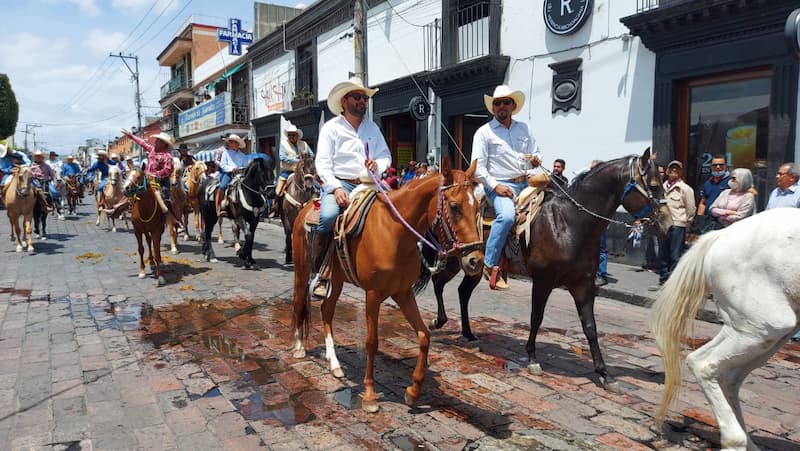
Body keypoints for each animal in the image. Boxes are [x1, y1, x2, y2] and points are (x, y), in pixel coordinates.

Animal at [292, 158, 484, 414]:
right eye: (454, 206)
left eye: (478, 206)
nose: (475, 260)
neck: (395, 233)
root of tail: (304, 209)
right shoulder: (373, 295)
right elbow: (372, 343)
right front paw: (370, 396)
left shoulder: (403, 293)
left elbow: (424, 336)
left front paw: (413, 392)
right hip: (302, 270)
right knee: (298, 303)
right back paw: (299, 347)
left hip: (338, 279)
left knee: (327, 310)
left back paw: (334, 364)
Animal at [428, 148, 672, 392]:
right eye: (653, 185)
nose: (669, 224)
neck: (569, 223)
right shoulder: (542, 281)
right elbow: (536, 317)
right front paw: (532, 358)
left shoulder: (583, 284)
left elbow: (590, 327)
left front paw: (605, 374)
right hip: (456, 258)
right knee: (438, 281)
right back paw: (438, 321)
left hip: (473, 266)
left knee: (462, 292)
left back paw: (468, 334)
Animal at [648, 209, 800, 451]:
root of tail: (720, 235)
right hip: (764, 324)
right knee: (704, 364)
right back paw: (734, 440)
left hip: (754, 328)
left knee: (728, 376)